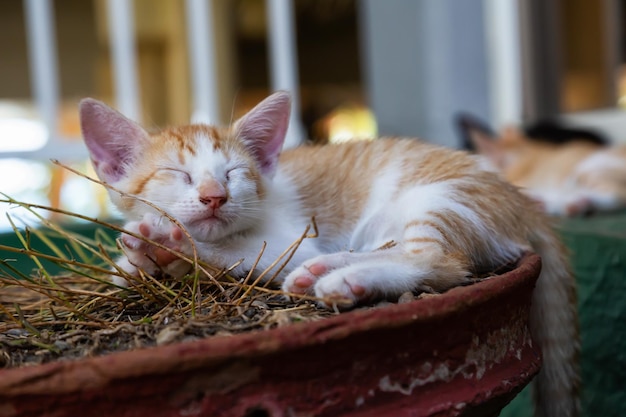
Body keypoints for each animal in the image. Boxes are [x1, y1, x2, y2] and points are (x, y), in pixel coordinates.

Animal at [80, 92, 576, 416]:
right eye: (178, 174)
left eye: (234, 173)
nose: (214, 197)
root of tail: (521, 200)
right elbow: (124, 270)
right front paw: (139, 261)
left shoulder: (288, 238)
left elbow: (232, 251)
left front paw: (170, 245)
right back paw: (322, 271)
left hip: (440, 199)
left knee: (439, 263)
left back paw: (347, 280)